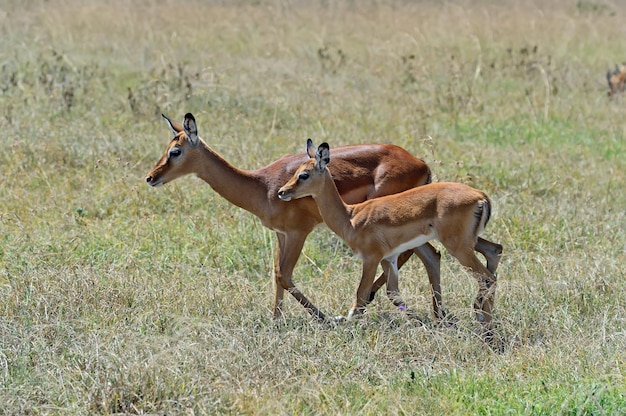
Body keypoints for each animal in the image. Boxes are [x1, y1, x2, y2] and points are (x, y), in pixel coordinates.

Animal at [276, 140, 498, 328]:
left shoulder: (371, 258)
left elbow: (361, 293)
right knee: (493, 257)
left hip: (458, 247)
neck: (351, 217)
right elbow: (394, 293)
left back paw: (486, 328)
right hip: (466, 243)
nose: (281, 192)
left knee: (486, 278)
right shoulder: (389, 259)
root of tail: (481, 197)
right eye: (296, 171)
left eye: (304, 174)